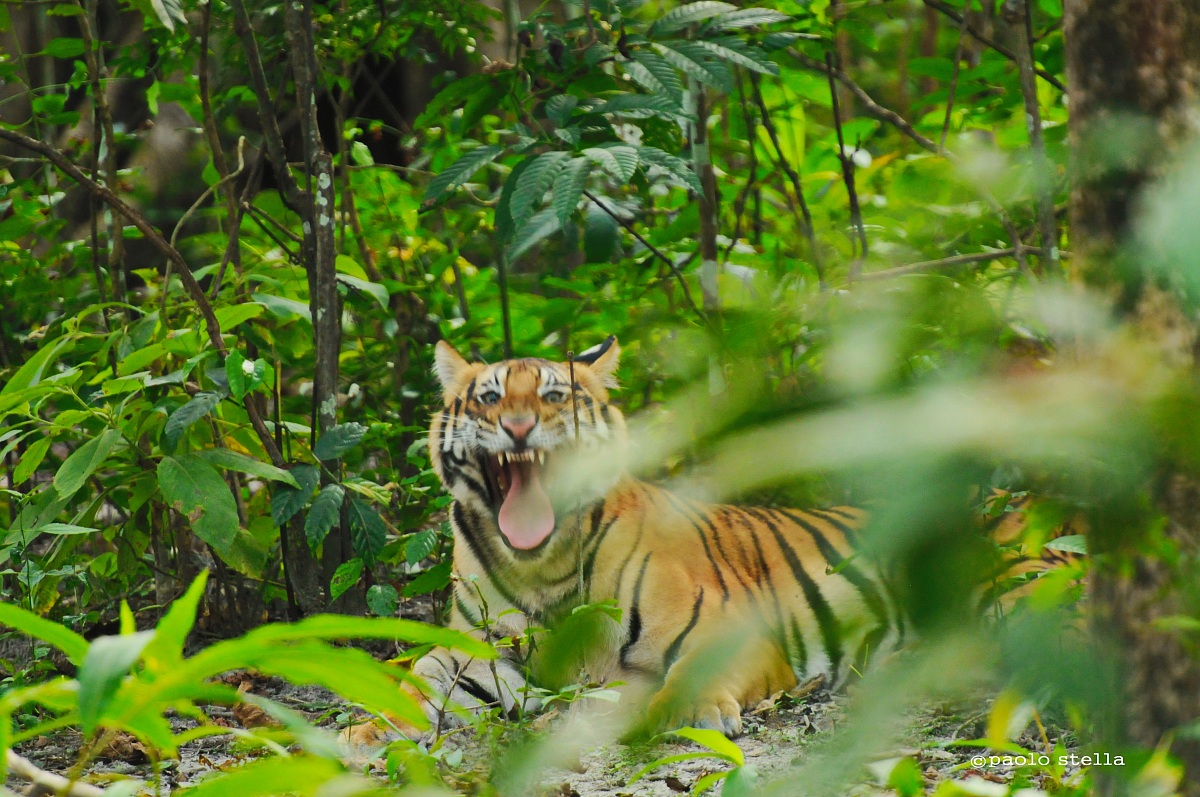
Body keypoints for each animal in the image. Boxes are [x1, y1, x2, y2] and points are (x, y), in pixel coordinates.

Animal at [395, 336, 910, 739]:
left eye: (554, 395)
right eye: (489, 398)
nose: (518, 427)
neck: (541, 568)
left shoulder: (735, 626)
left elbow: (696, 670)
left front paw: (688, 712)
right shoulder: (481, 650)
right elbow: (423, 672)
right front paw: (382, 725)